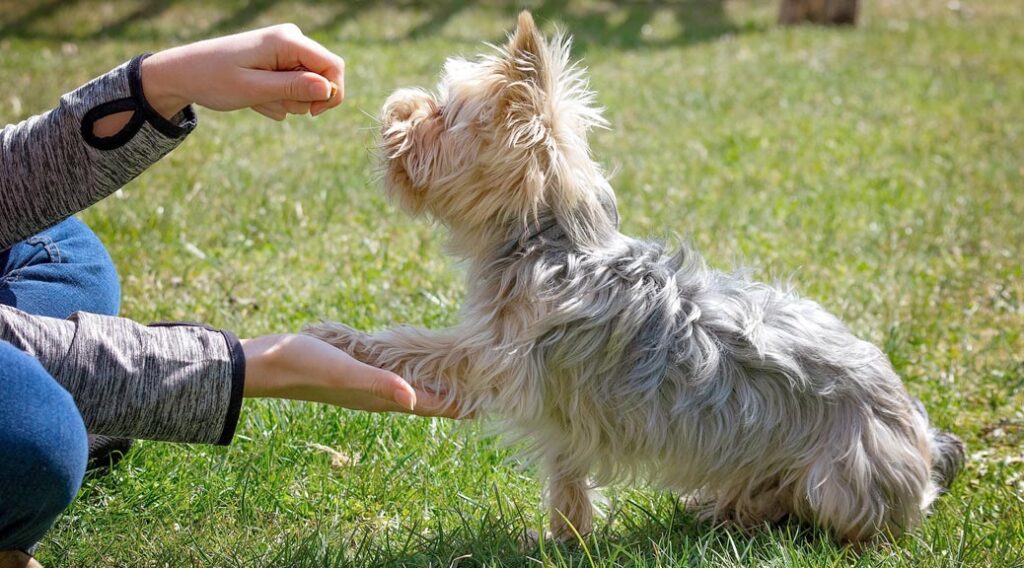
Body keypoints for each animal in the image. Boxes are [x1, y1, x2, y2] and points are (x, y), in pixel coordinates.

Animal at [307, 12, 962, 548]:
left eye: (443, 115)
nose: (396, 108)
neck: (547, 239)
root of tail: (924, 439)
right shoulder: (559, 411)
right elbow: (568, 476)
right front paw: (565, 539)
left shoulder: (495, 356)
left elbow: (416, 345)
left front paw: (339, 338)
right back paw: (723, 509)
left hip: (840, 479)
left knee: (837, 521)